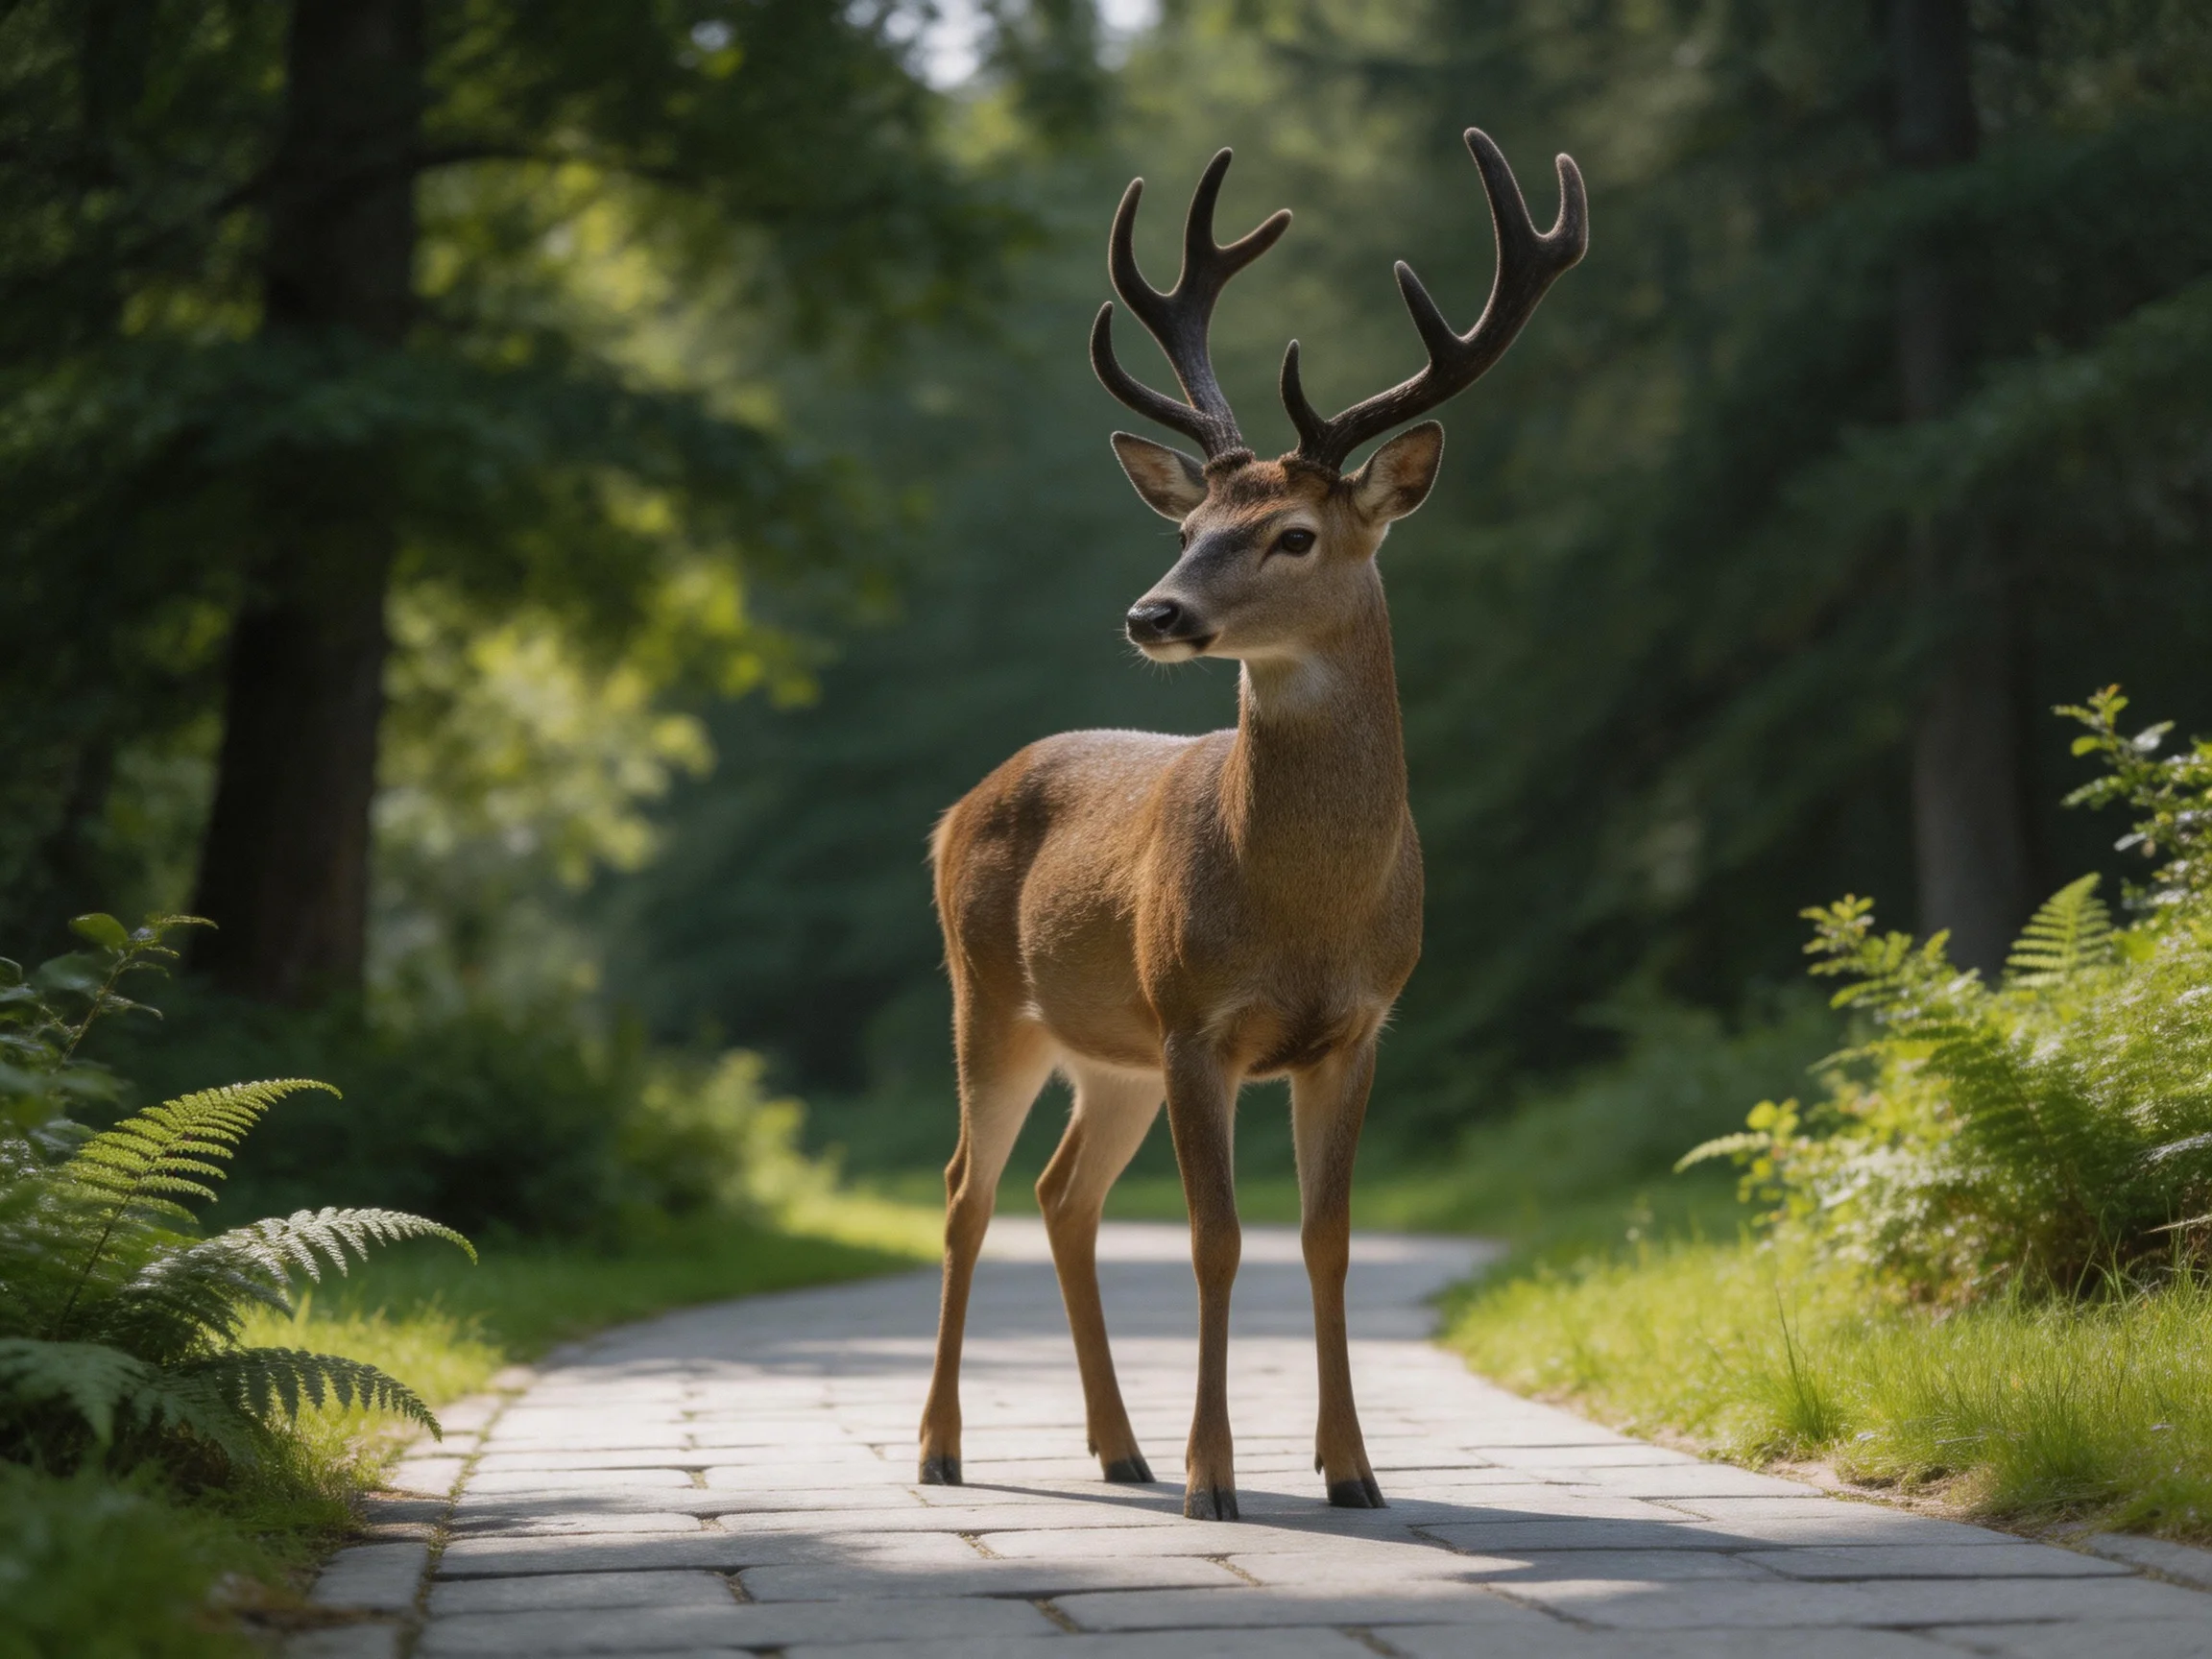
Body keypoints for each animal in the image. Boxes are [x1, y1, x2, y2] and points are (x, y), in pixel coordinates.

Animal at [918, 129, 1586, 1521]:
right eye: (1186, 526)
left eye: (1292, 532)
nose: (1153, 612)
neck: (1305, 908)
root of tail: (959, 806)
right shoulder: (1197, 1021)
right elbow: (1216, 1241)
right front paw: (1213, 1478)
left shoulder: (1360, 1026)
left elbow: (1326, 1241)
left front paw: (1352, 1472)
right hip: (990, 997)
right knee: (966, 1192)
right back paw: (944, 1447)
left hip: (1107, 1049)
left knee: (1061, 1195)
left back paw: (1114, 1448)